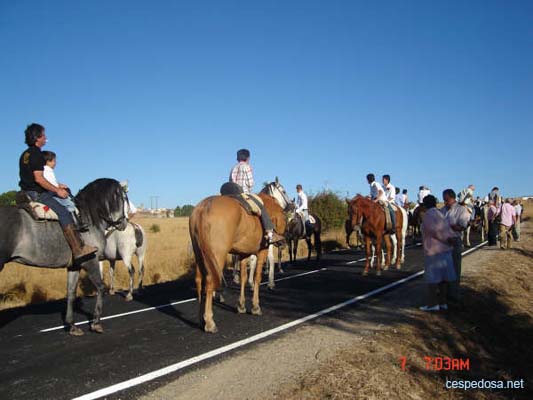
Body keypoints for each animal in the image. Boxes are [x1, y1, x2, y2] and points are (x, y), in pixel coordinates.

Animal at [0, 178, 128, 334]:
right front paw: (96, 323)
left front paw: (71, 325)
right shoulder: (90, 261)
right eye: (124, 198)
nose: (123, 223)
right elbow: (100, 287)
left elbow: (71, 293)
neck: (88, 217)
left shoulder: (75, 266)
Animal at [188, 186, 286, 332]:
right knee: (210, 282)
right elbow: (257, 278)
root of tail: (203, 208)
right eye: (283, 191)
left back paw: (201, 318)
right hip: (217, 255)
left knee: (199, 281)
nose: (282, 242)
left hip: (200, 254)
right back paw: (209, 322)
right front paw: (256, 306)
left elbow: (244, 278)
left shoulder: (243, 254)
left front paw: (241, 305)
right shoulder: (261, 252)